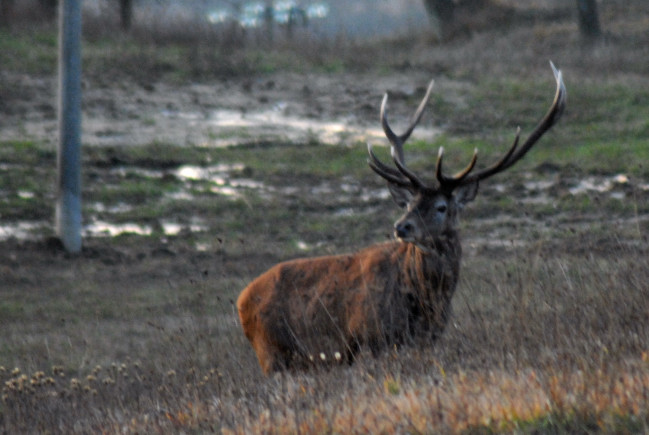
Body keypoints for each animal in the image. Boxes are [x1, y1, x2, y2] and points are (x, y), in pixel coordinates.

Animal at [235, 63, 564, 376]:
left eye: (441, 206)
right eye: (410, 203)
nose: (401, 226)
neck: (429, 302)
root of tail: (241, 300)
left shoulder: (428, 339)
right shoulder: (371, 339)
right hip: (272, 352)